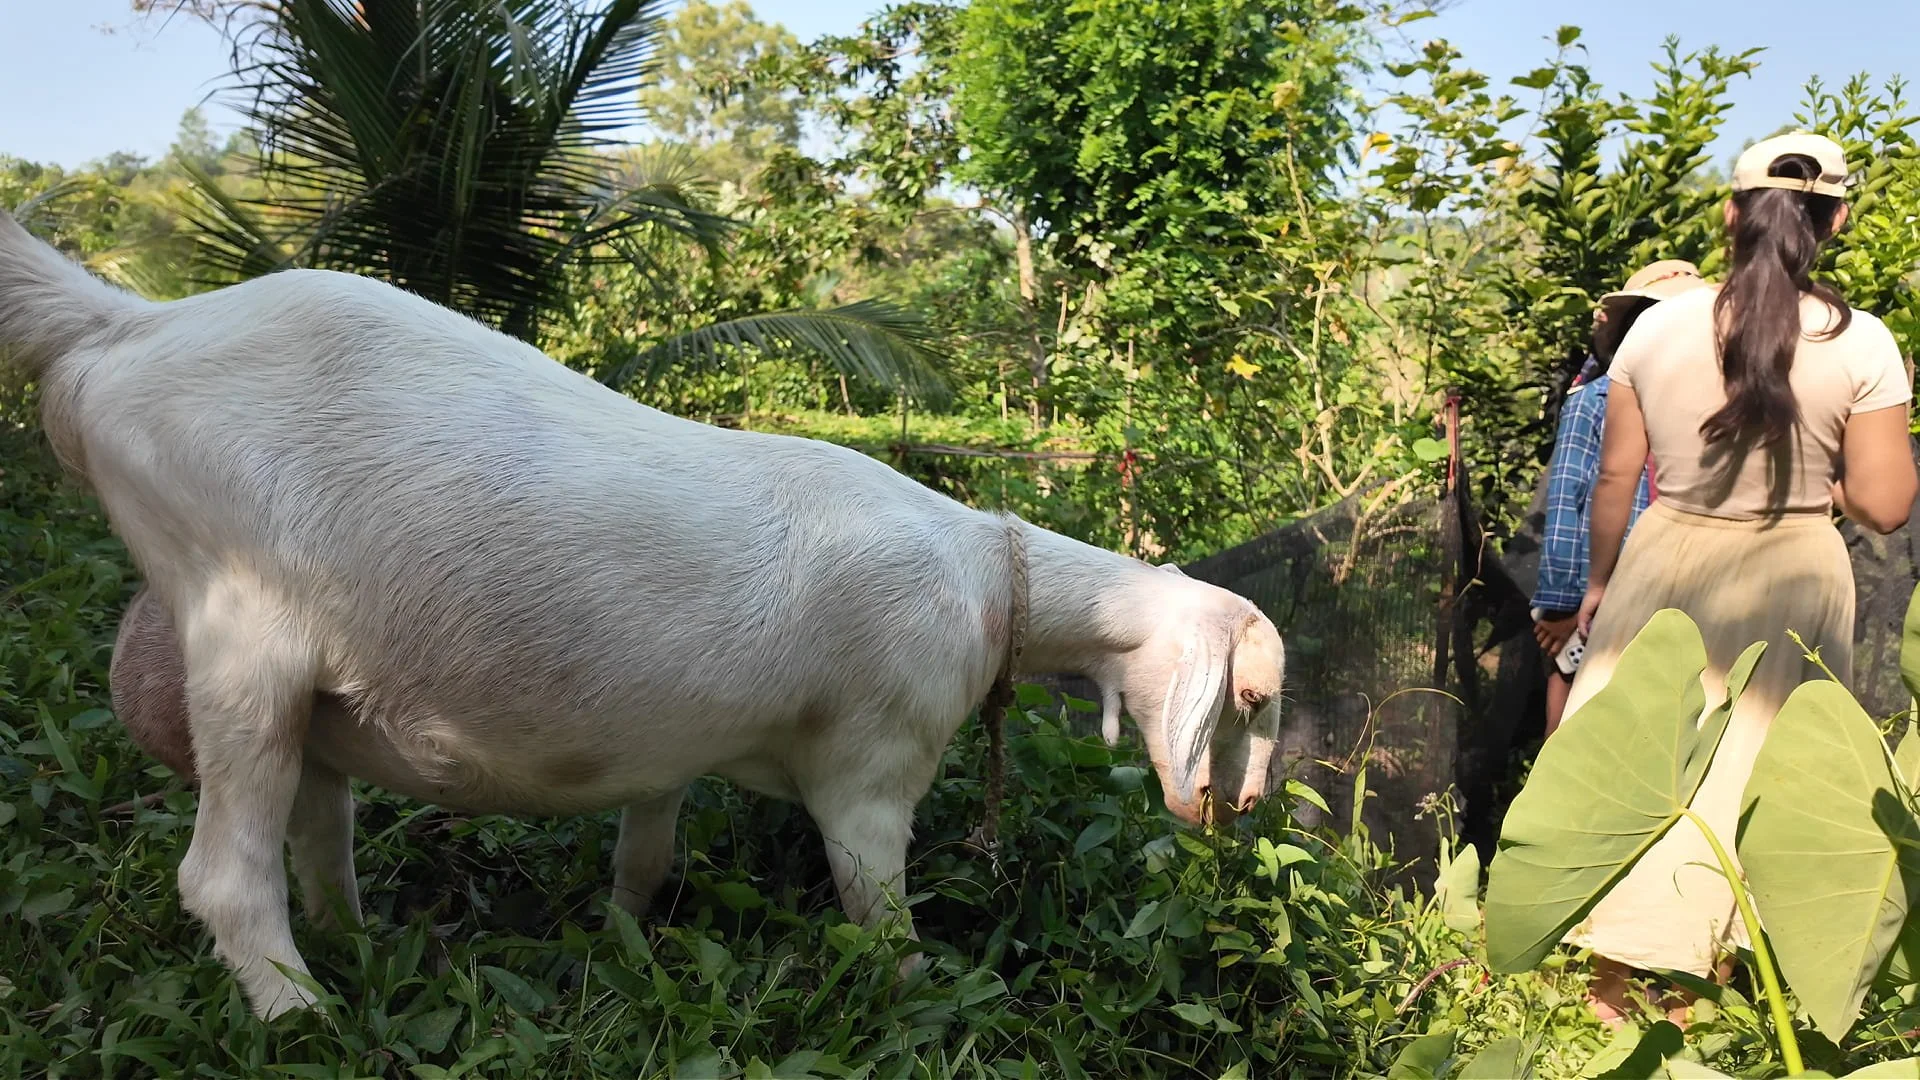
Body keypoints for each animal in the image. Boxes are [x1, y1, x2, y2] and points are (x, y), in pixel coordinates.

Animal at [0, 209, 1285, 1020]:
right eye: (1254, 698)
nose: (1239, 812)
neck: (989, 567)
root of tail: (127, 328)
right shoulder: (875, 759)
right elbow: (879, 912)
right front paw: (930, 1003)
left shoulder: (673, 749)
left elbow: (648, 848)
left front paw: (620, 940)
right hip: (239, 632)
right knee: (226, 876)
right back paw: (303, 1017)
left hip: (304, 692)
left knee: (317, 833)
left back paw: (362, 955)